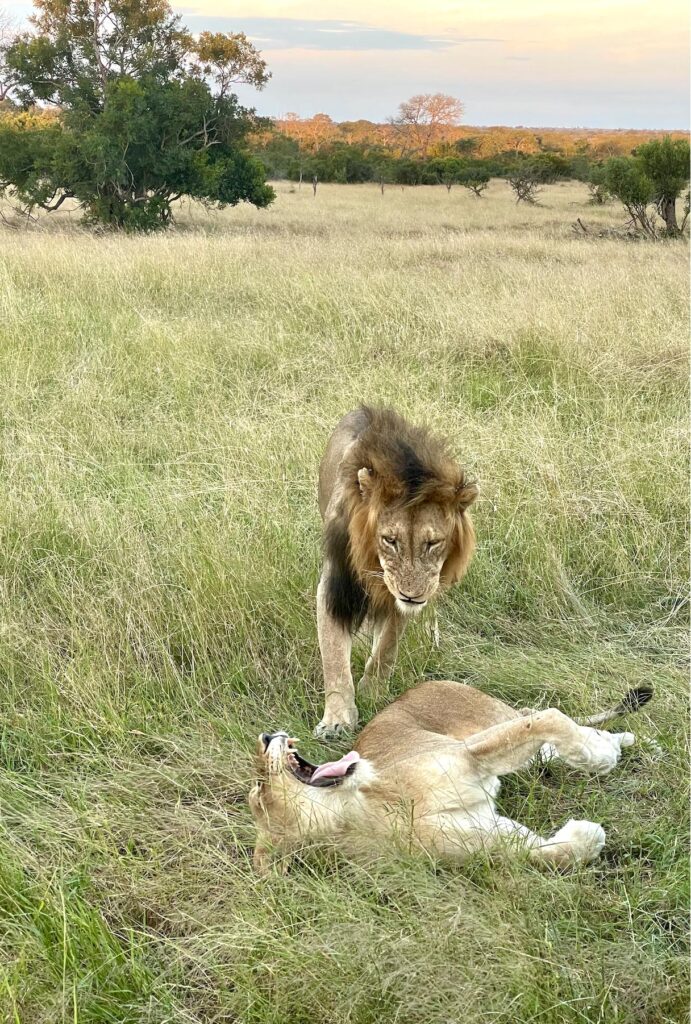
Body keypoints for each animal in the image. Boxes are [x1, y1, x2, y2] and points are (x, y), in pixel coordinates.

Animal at [249, 679, 655, 872]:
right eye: (259, 789)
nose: (267, 736)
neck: (362, 813)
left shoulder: (468, 754)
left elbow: (548, 719)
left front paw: (600, 757)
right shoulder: (494, 841)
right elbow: (553, 855)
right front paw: (587, 835)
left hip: (490, 719)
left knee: (541, 717)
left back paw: (635, 744)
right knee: (546, 741)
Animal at [315, 405, 479, 737]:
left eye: (433, 542)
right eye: (390, 540)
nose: (411, 595)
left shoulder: (398, 601)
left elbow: (387, 647)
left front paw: (372, 692)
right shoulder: (335, 586)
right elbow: (334, 657)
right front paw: (337, 719)